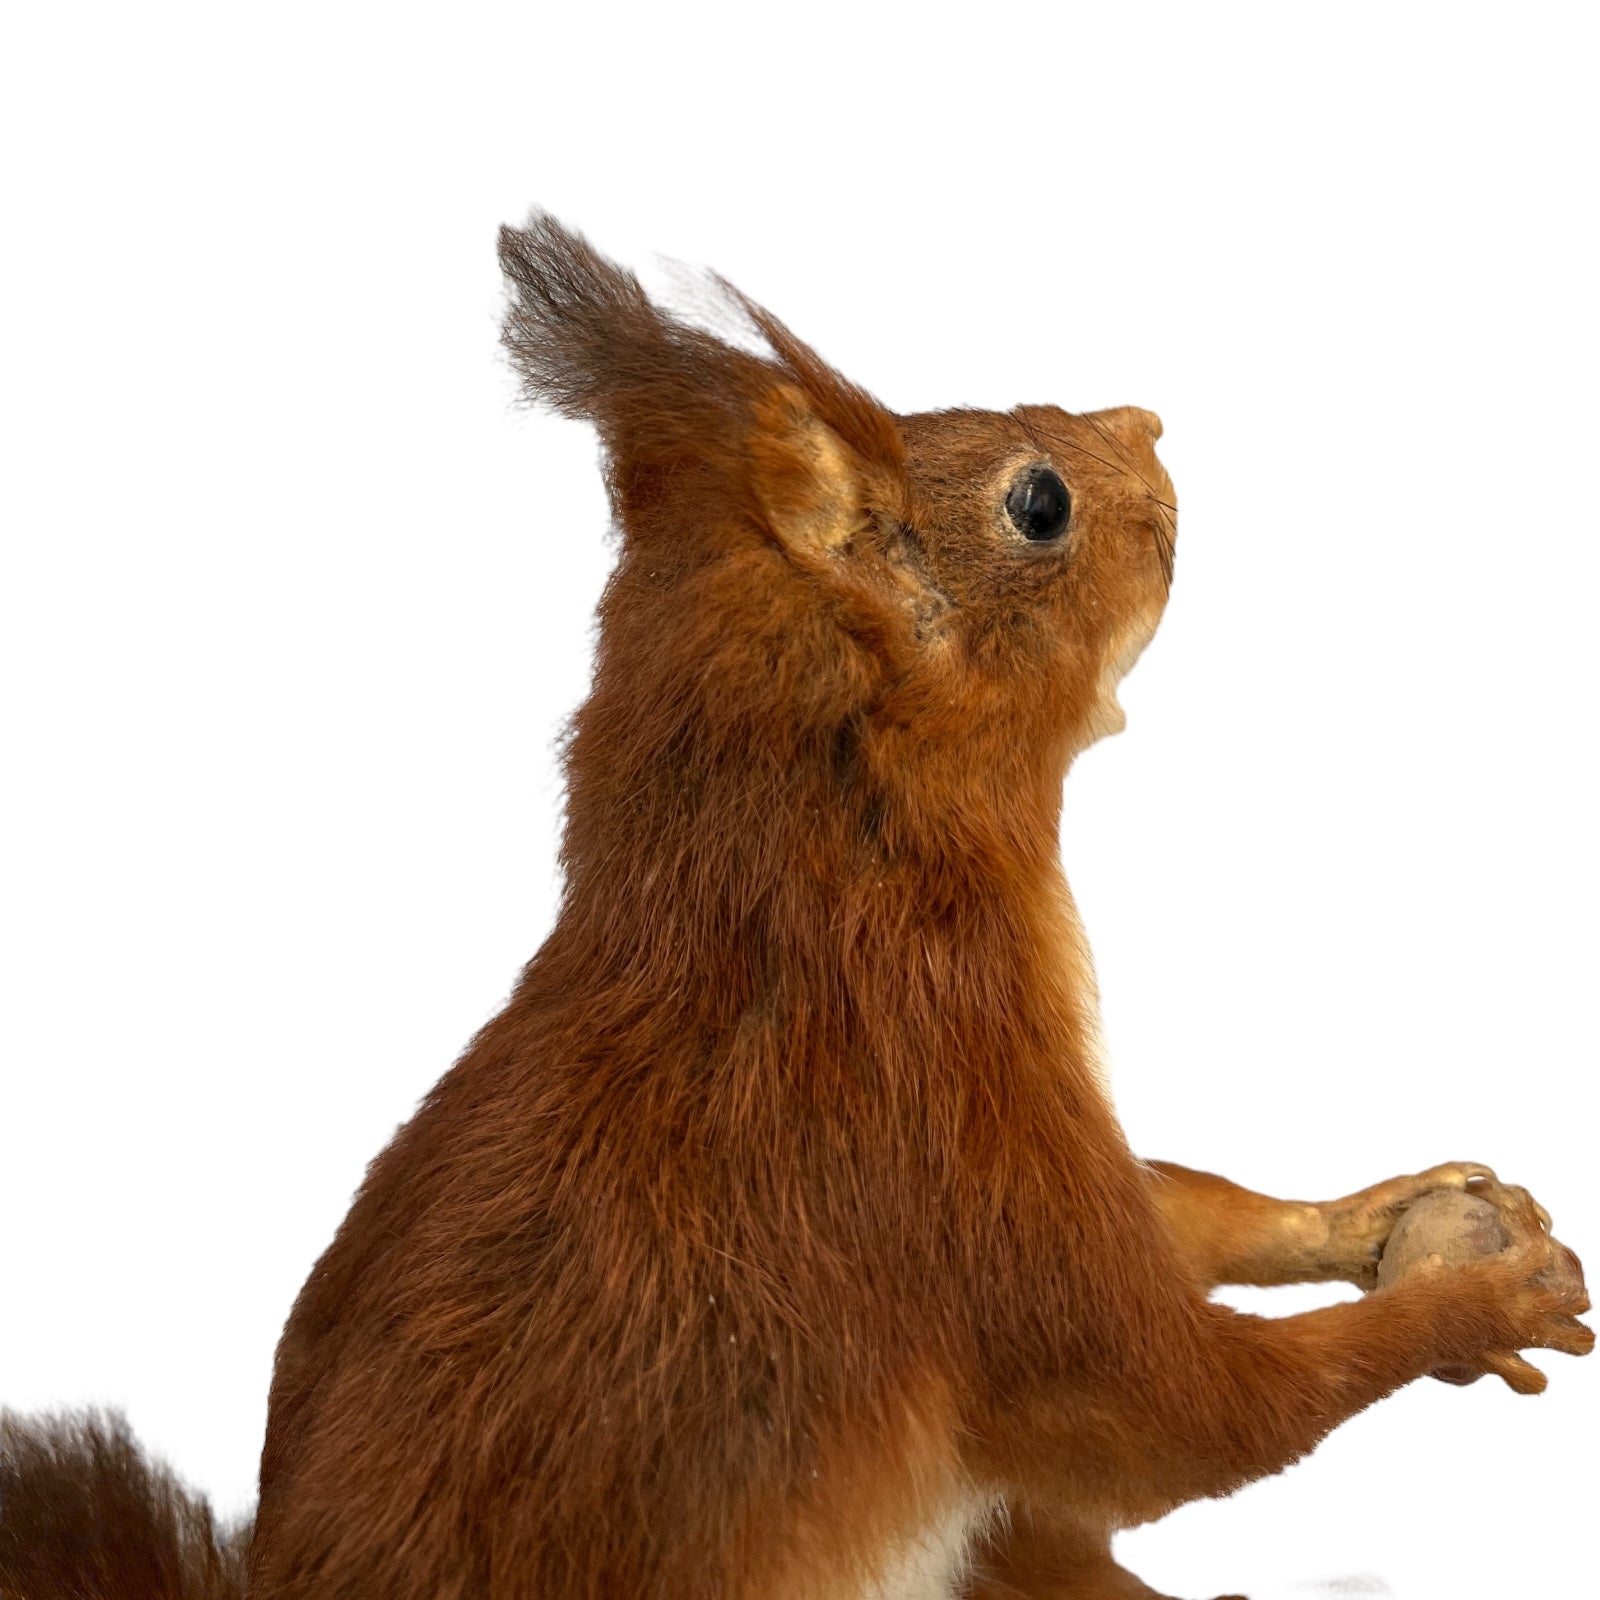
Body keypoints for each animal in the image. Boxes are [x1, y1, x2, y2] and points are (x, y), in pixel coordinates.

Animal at [0, 212, 1587, 1600]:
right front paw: (1471, 1302)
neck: (827, 887)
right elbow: (1169, 1405)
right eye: (1039, 504)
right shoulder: (943, 1138)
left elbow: (1178, 1205)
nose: (1147, 424)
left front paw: (1368, 1209)